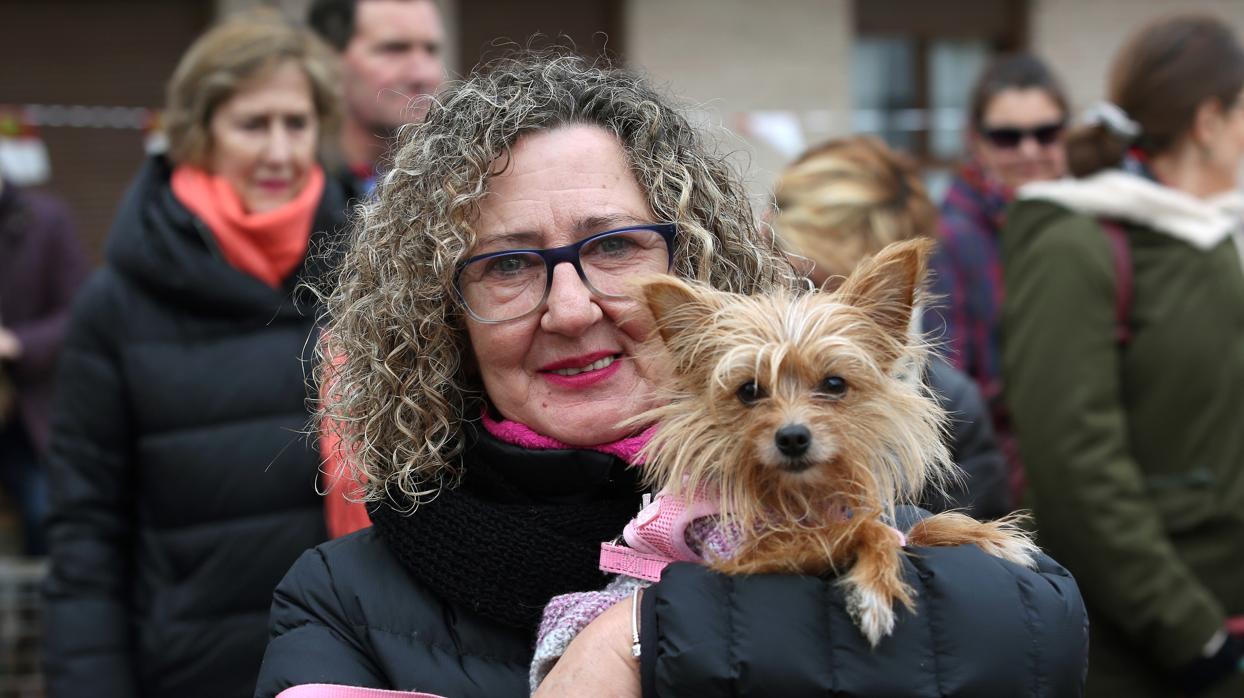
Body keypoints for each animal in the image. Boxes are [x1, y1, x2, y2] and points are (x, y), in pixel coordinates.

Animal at [626, 237, 1035, 642]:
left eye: (834, 384)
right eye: (749, 391)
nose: (792, 437)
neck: (798, 497)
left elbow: (916, 528)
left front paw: (986, 535)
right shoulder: (738, 554)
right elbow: (868, 529)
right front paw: (874, 586)